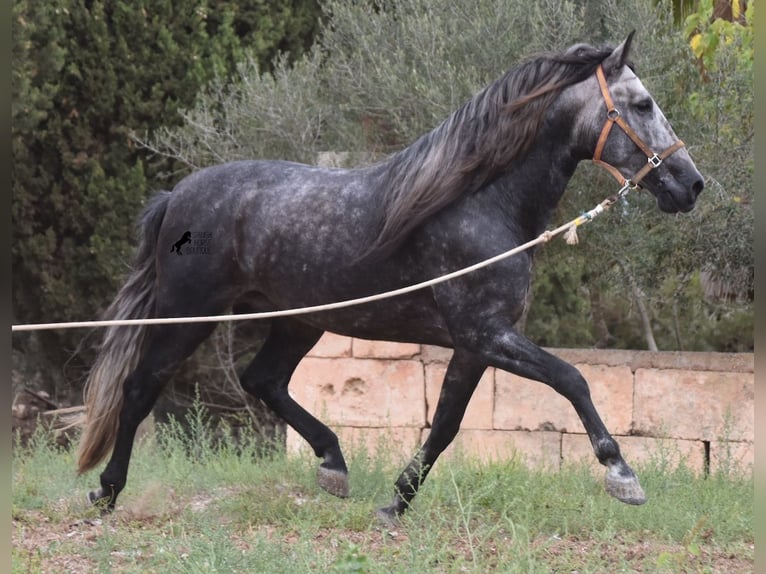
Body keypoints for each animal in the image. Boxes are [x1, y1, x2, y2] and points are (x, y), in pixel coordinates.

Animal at [76, 32, 704, 528]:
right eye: (642, 103)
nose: (691, 184)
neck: (481, 205)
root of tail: (177, 195)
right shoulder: (486, 335)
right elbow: (572, 379)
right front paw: (622, 475)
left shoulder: (475, 345)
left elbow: (445, 426)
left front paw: (394, 505)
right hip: (190, 314)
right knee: (140, 388)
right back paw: (106, 492)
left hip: (298, 321)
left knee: (263, 380)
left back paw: (333, 465)